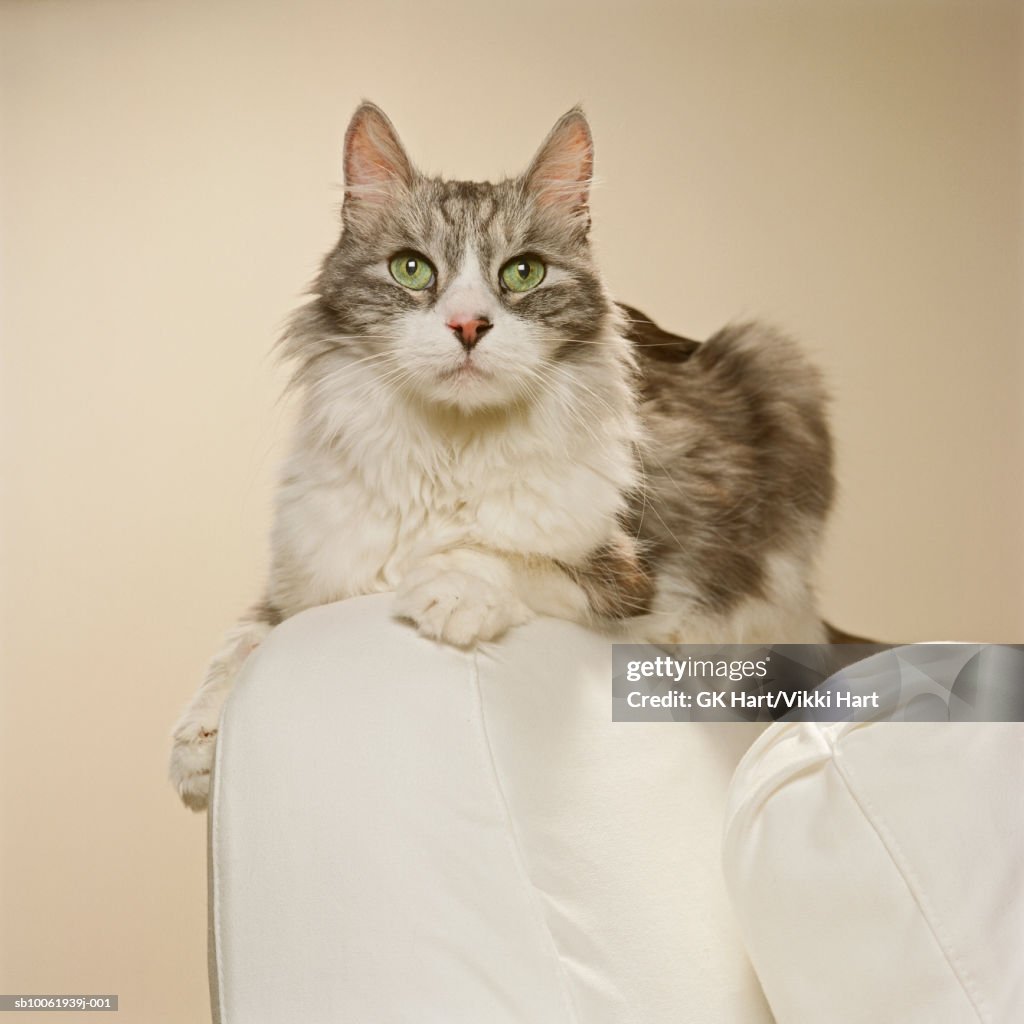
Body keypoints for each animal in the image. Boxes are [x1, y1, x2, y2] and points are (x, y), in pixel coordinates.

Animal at [167, 103, 831, 806]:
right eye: (411, 269)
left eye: (523, 272)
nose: (468, 326)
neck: (450, 448)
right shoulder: (309, 579)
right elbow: (244, 639)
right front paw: (199, 745)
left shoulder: (632, 583)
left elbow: (508, 553)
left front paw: (450, 589)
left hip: (778, 365)